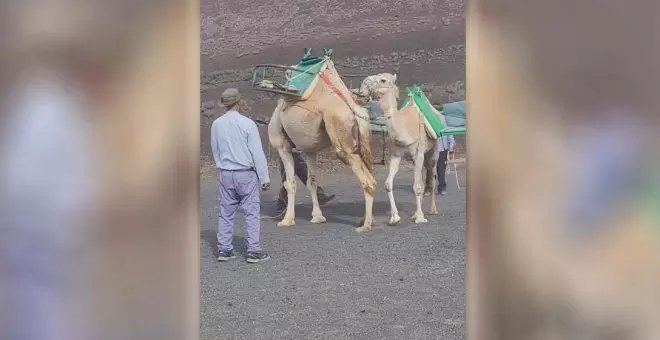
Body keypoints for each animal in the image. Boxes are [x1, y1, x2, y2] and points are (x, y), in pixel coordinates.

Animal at [266, 59, 376, 232]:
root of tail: (355, 110)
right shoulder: (310, 151)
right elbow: (312, 181)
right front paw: (318, 217)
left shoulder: (282, 147)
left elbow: (290, 183)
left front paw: (287, 220)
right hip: (361, 144)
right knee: (372, 176)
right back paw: (366, 220)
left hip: (341, 140)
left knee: (368, 181)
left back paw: (365, 226)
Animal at [360, 73, 438, 224]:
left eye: (383, 80)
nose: (364, 83)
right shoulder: (396, 155)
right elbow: (388, 184)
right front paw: (394, 217)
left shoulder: (418, 153)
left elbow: (417, 187)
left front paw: (420, 218)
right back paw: (415, 212)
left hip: (434, 151)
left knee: (432, 176)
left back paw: (433, 210)